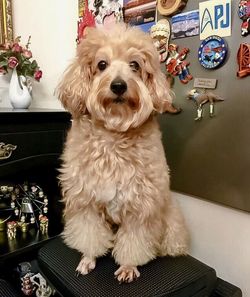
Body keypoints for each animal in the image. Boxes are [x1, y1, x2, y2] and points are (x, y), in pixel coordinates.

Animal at [57, 23, 188, 282]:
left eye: (134, 65)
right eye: (101, 64)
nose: (118, 85)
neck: (114, 136)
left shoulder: (141, 205)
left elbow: (134, 242)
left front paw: (128, 266)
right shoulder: (85, 201)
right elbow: (90, 235)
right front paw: (88, 258)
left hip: (169, 218)